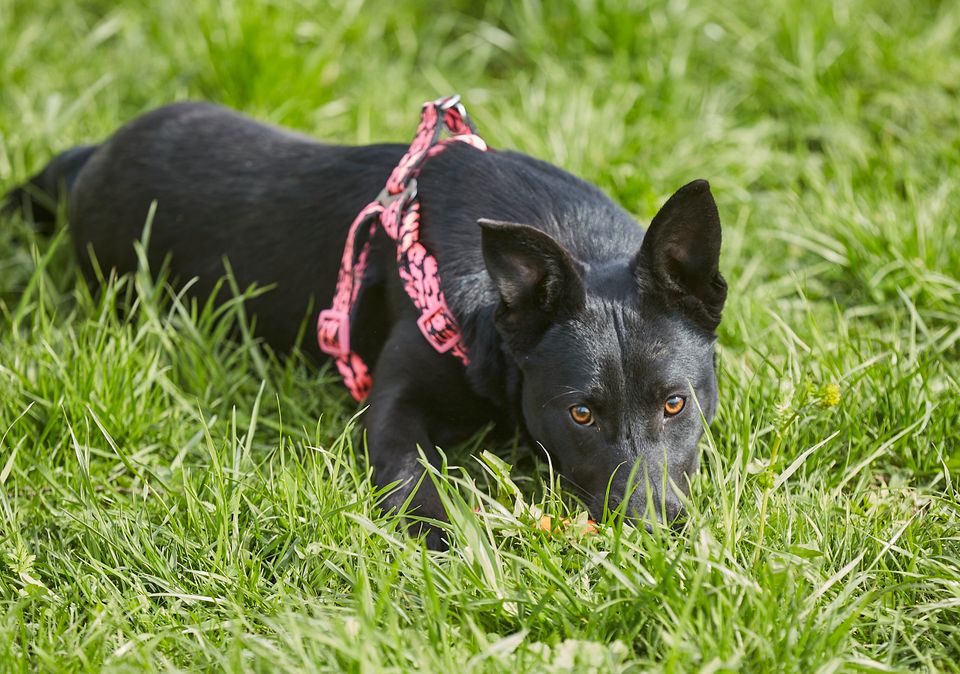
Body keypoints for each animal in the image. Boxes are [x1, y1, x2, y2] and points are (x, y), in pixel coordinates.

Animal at [1, 101, 728, 544]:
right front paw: (458, 543)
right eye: (580, 414)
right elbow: (416, 482)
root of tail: (91, 157)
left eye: (675, 404)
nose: (653, 529)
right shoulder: (395, 407)